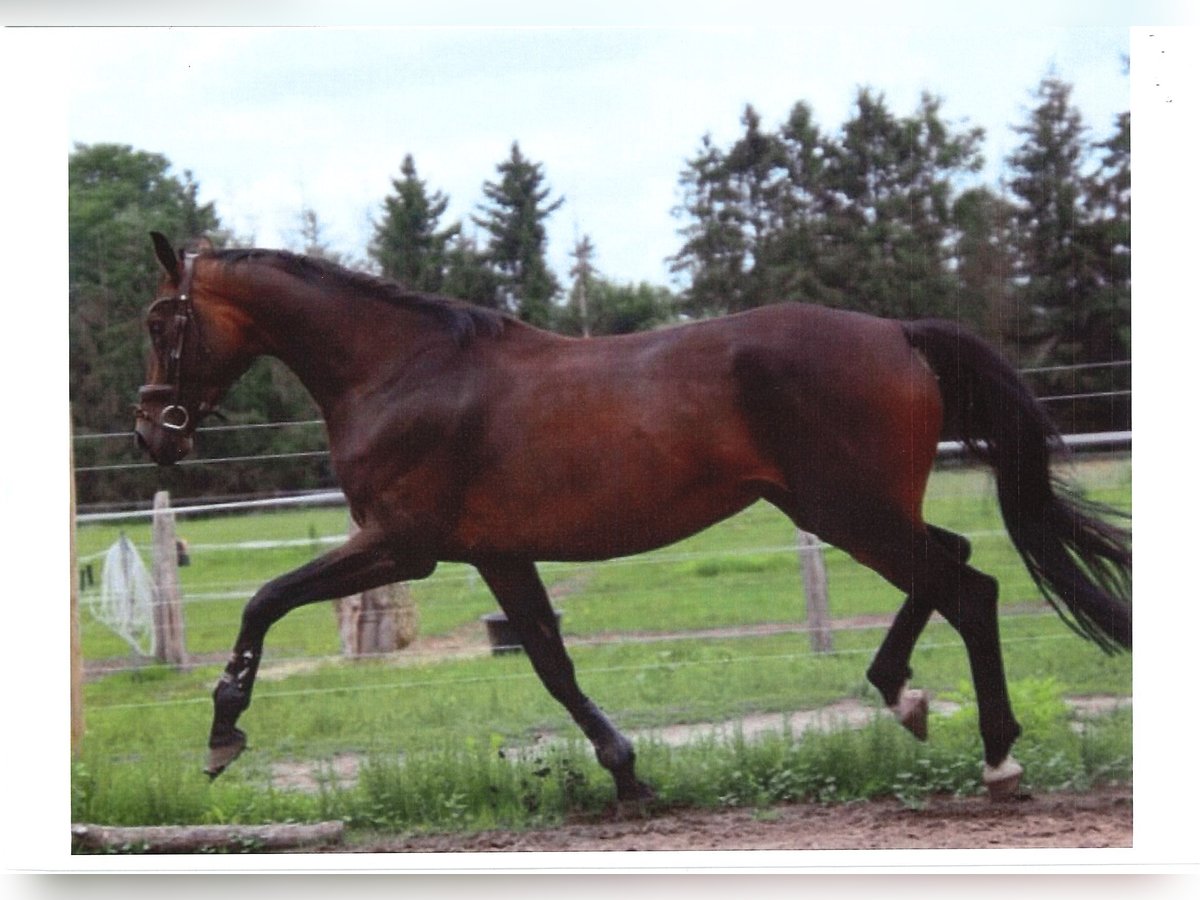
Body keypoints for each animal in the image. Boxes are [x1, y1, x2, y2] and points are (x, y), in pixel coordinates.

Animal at [134, 232, 1131, 804]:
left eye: (157, 322)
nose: (153, 433)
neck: (402, 370)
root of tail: (897, 334)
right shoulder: (496, 555)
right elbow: (549, 659)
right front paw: (627, 773)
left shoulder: (400, 547)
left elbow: (264, 600)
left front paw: (222, 735)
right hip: (861, 509)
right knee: (953, 568)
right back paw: (908, 696)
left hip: (848, 510)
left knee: (969, 586)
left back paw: (994, 758)